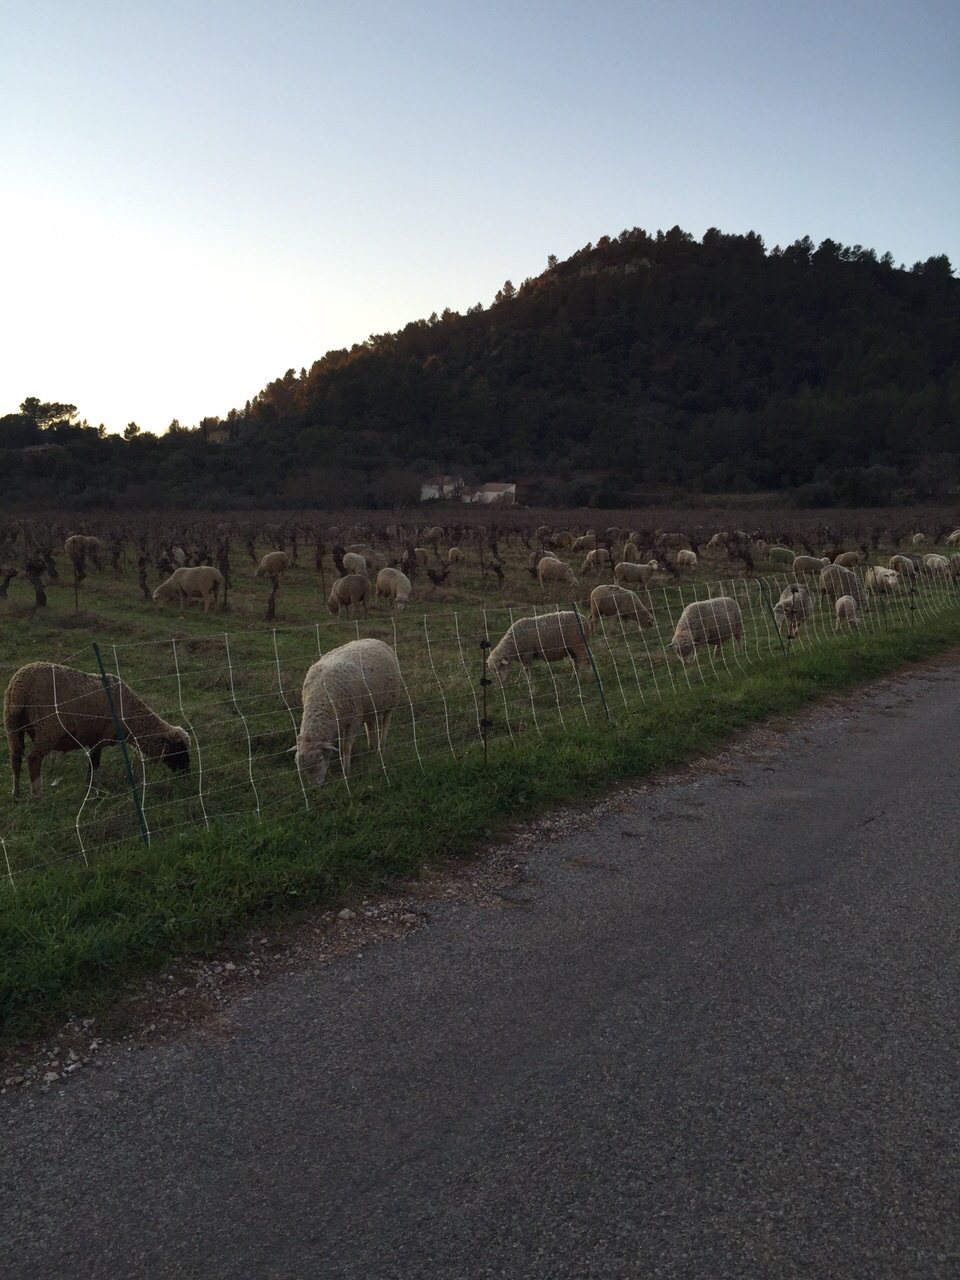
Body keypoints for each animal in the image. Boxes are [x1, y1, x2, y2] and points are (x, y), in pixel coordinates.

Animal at [4, 660, 189, 798]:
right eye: (179, 748)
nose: (187, 772)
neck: (130, 716)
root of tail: (20, 686)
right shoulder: (100, 738)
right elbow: (94, 764)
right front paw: (91, 788)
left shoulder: (95, 738)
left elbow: (93, 764)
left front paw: (90, 786)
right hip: (47, 728)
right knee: (33, 760)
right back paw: (37, 796)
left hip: (12, 725)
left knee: (15, 758)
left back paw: (16, 794)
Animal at [300, 634, 407, 783]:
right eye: (303, 769)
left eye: (320, 759)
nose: (317, 785)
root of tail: (375, 639)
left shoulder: (355, 719)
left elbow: (346, 747)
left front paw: (346, 771)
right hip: (369, 705)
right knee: (371, 724)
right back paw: (372, 746)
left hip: (391, 700)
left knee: (386, 723)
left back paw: (380, 747)